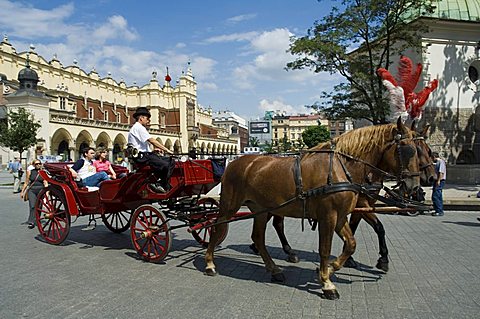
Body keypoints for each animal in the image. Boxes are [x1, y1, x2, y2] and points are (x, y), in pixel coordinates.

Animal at [204, 118, 418, 300]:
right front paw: (327, 283)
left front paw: (330, 269)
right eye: (408, 150)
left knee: (258, 237)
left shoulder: (340, 217)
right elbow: (325, 249)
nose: (414, 187)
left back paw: (274, 269)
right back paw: (209, 263)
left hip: (261, 209)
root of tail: (235, 162)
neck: (340, 168)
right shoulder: (328, 217)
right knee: (217, 227)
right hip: (229, 206)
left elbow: (351, 244)